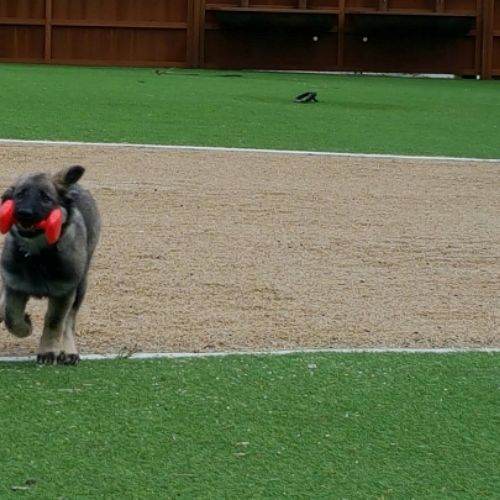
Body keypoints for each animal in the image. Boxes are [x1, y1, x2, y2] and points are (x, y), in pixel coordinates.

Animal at [0, 165, 100, 364]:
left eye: (46, 198)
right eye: (20, 195)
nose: (24, 214)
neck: (37, 254)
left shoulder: (64, 292)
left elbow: (55, 322)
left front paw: (48, 351)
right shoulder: (14, 286)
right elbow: (11, 317)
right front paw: (26, 326)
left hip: (80, 286)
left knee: (69, 321)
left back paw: (68, 351)